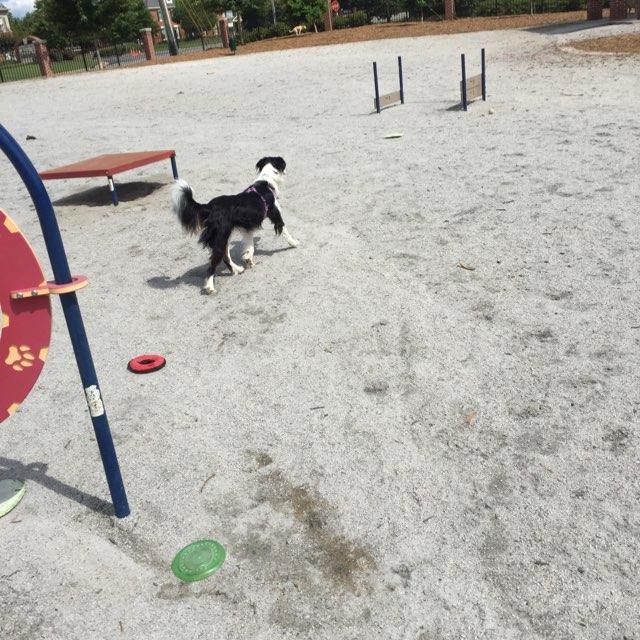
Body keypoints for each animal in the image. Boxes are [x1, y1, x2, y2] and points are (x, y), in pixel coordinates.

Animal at [171, 159, 298, 294]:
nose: (287, 170)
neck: (266, 181)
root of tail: (209, 206)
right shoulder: (276, 216)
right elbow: (285, 230)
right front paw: (294, 243)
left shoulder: (247, 229)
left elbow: (249, 247)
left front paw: (248, 259)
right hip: (221, 236)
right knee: (213, 263)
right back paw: (210, 287)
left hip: (223, 236)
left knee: (225, 256)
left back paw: (237, 269)